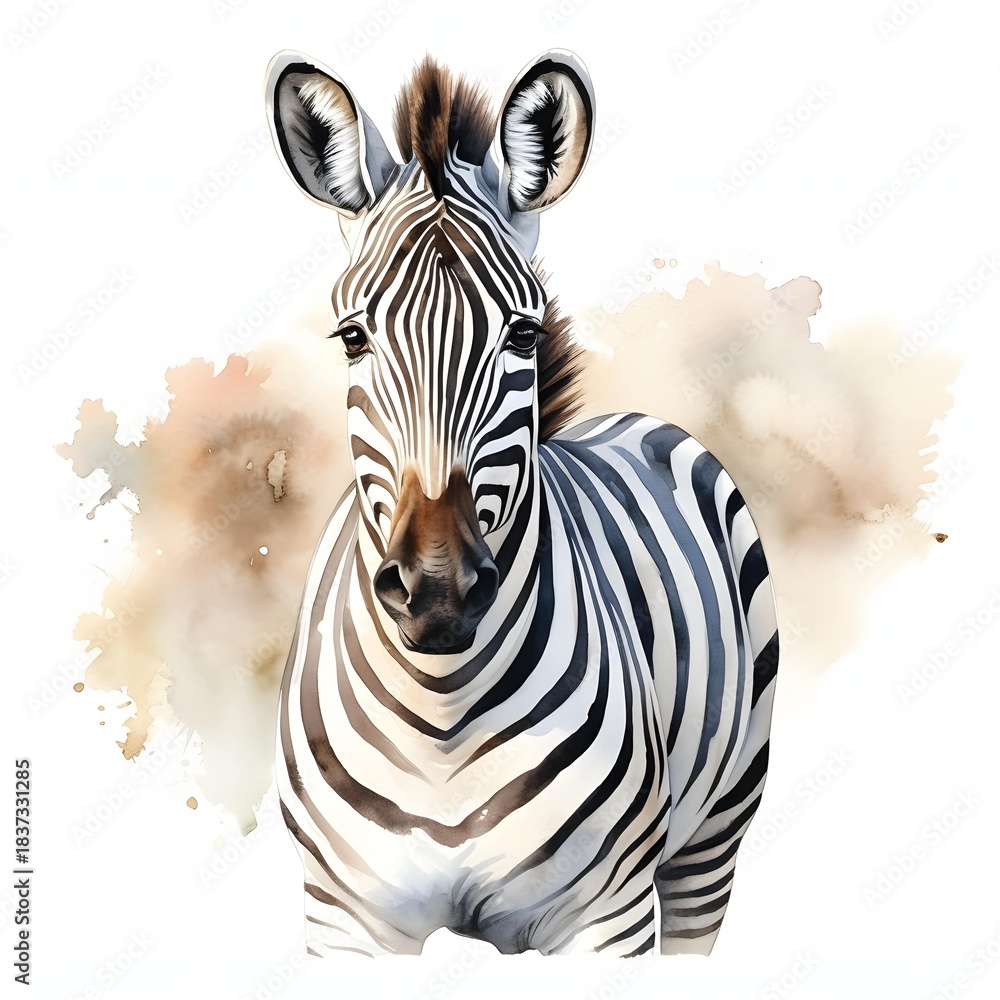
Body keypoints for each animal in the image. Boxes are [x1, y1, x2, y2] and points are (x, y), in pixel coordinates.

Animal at [264, 48, 779, 958]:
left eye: (524, 335)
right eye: (352, 338)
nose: (436, 590)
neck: (440, 713)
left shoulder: (606, 912)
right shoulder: (343, 913)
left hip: (714, 836)